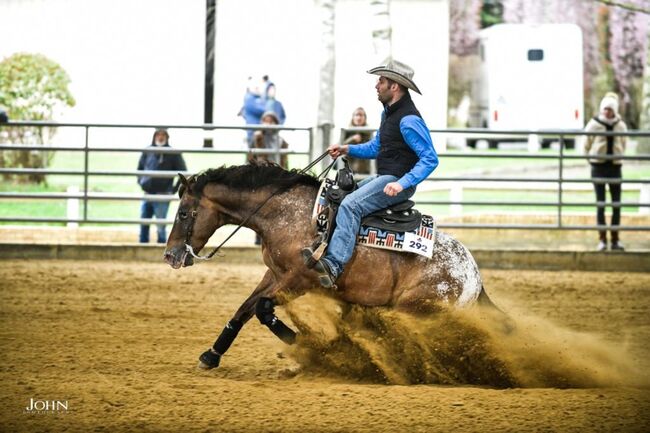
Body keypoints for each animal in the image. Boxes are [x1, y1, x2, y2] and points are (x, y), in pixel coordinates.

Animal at [162, 162, 496, 368]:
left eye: (182, 213)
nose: (170, 256)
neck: (288, 214)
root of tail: (474, 276)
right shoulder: (276, 274)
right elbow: (244, 310)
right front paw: (211, 355)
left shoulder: (301, 279)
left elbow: (263, 309)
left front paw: (306, 346)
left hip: (416, 311)